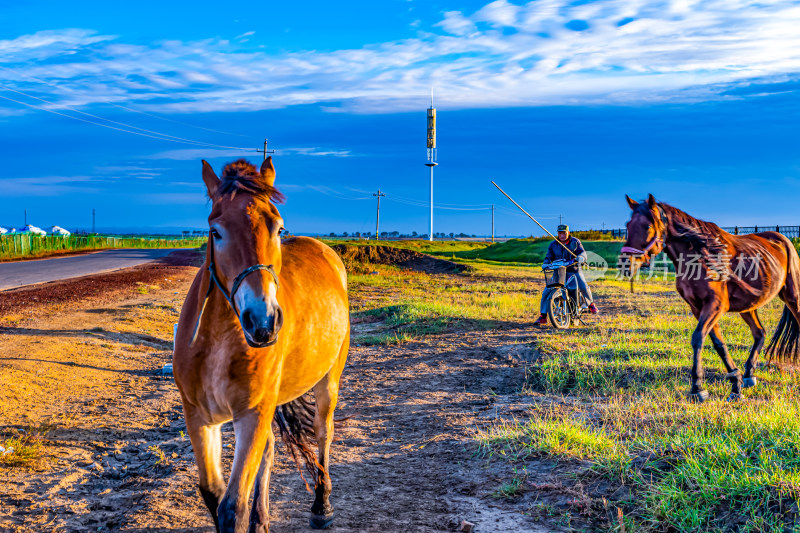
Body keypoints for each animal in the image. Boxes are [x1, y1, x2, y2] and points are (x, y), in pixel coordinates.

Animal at [173, 159, 348, 532]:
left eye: (278, 228)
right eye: (216, 232)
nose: (263, 320)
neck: (218, 343)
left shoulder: (252, 414)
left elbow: (232, 506)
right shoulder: (199, 417)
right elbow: (213, 495)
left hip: (328, 380)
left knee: (323, 432)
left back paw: (321, 505)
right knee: (269, 450)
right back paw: (262, 519)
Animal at [620, 194, 800, 400]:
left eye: (647, 226)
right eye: (627, 225)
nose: (625, 264)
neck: (700, 258)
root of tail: (784, 240)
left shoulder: (715, 305)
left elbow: (698, 338)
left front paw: (698, 388)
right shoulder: (698, 308)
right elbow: (718, 343)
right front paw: (735, 384)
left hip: (792, 297)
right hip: (748, 307)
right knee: (759, 333)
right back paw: (749, 375)